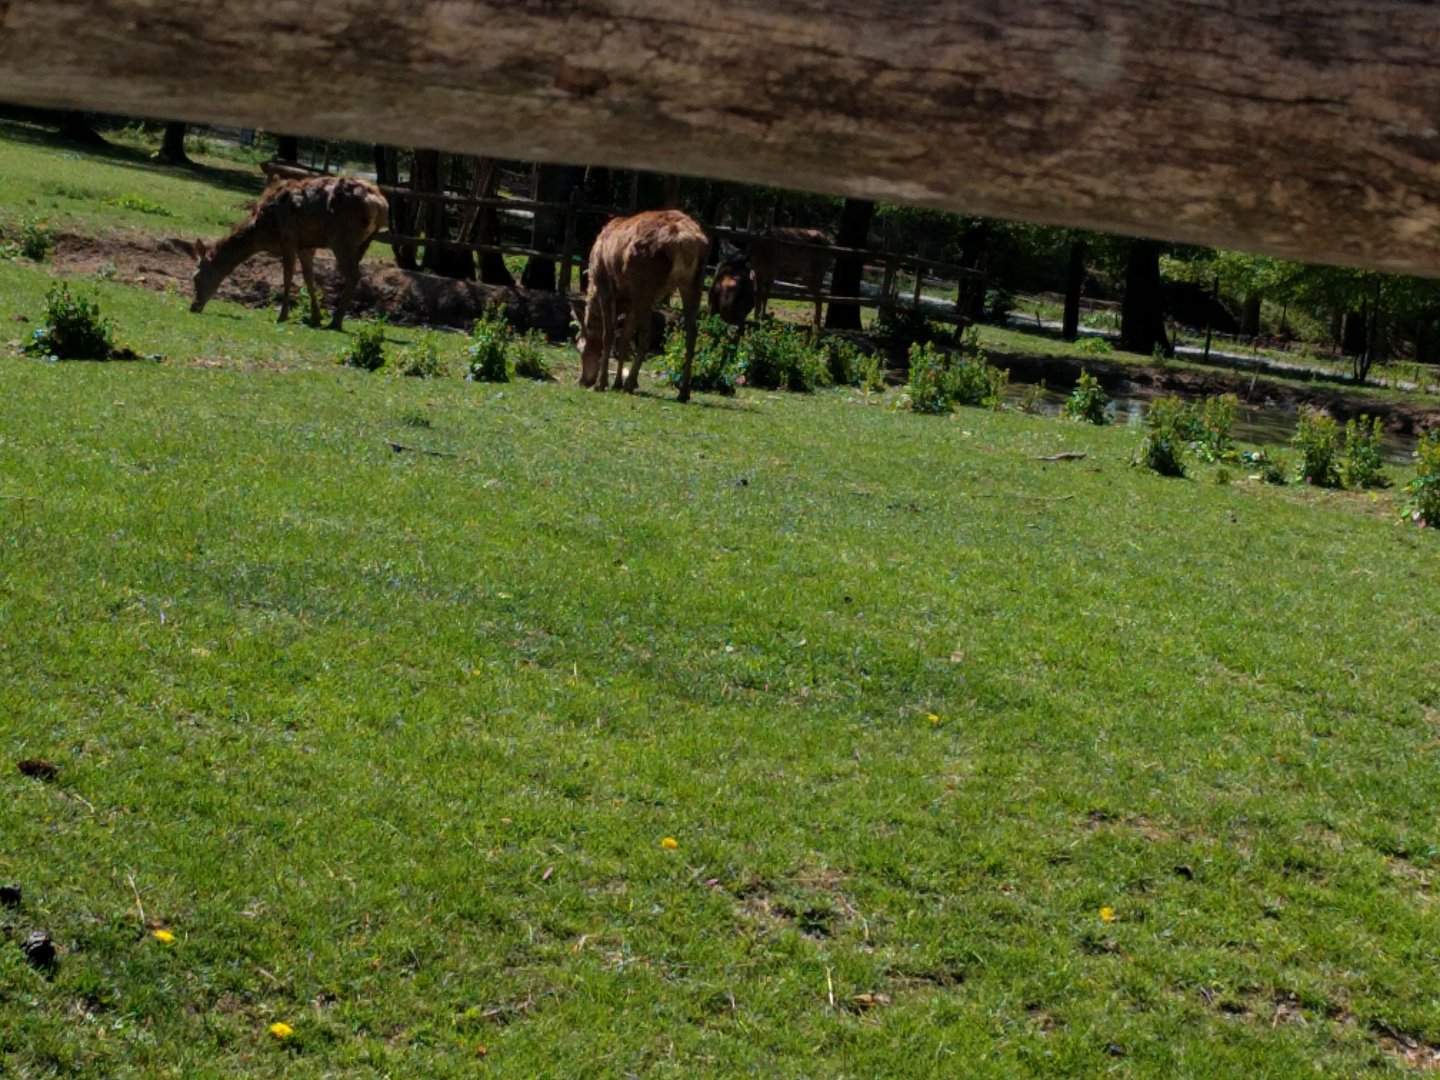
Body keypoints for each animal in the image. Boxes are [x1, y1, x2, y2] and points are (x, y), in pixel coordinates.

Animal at [191, 175, 388, 331]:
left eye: (196, 278)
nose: (193, 306)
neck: (261, 232)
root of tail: (381, 205)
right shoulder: (305, 245)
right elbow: (309, 278)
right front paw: (316, 317)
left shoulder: (288, 237)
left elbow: (288, 276)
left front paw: (283, 315)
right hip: (364, 241)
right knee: (353, 275)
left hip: (342, 238)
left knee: (354, 274)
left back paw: (336, 322)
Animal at [569, 210, 709, 402]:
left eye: (580, 347)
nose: (583, 381)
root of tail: (685, 242)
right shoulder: (631, 302)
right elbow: (624, 339)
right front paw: (616, 382)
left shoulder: (606, 287)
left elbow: (609, 334)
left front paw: (601, 383)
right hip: (693, 282)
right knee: (692, 334)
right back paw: (683, 392)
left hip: (645, 286)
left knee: (646, 334)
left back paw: (631, 383)